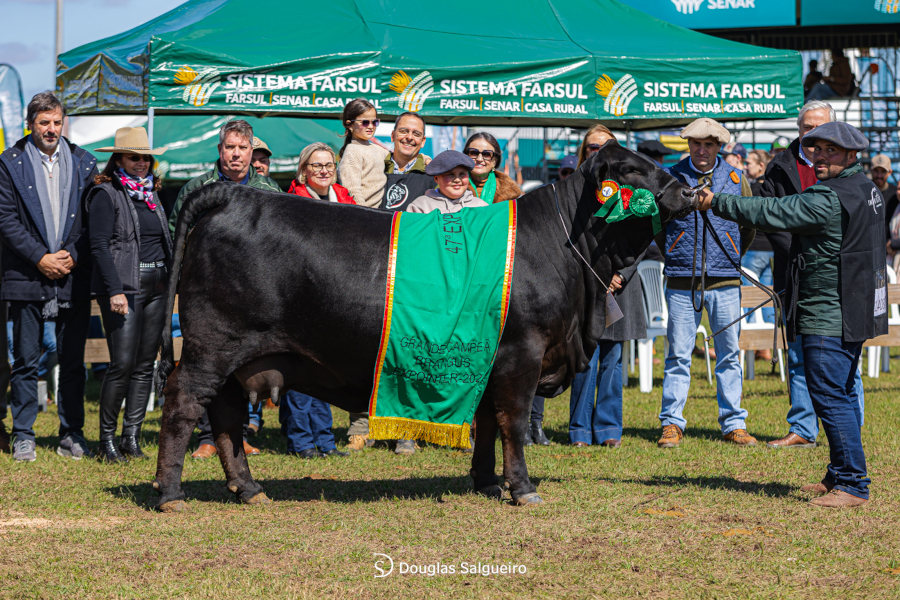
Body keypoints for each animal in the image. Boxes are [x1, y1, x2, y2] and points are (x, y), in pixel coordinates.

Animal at [151, 144, 692, 510]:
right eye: (629, 170)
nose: (690, 189)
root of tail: (231, 193)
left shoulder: (488, 360)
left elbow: (486, 422)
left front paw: (486, 483)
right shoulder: (523, 354)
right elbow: (513, 422)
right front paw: (522, 488)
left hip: (234, 358)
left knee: (223, 416)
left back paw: (248, 489)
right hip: (211, 347)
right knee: (183, 402)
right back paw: (171, 493)